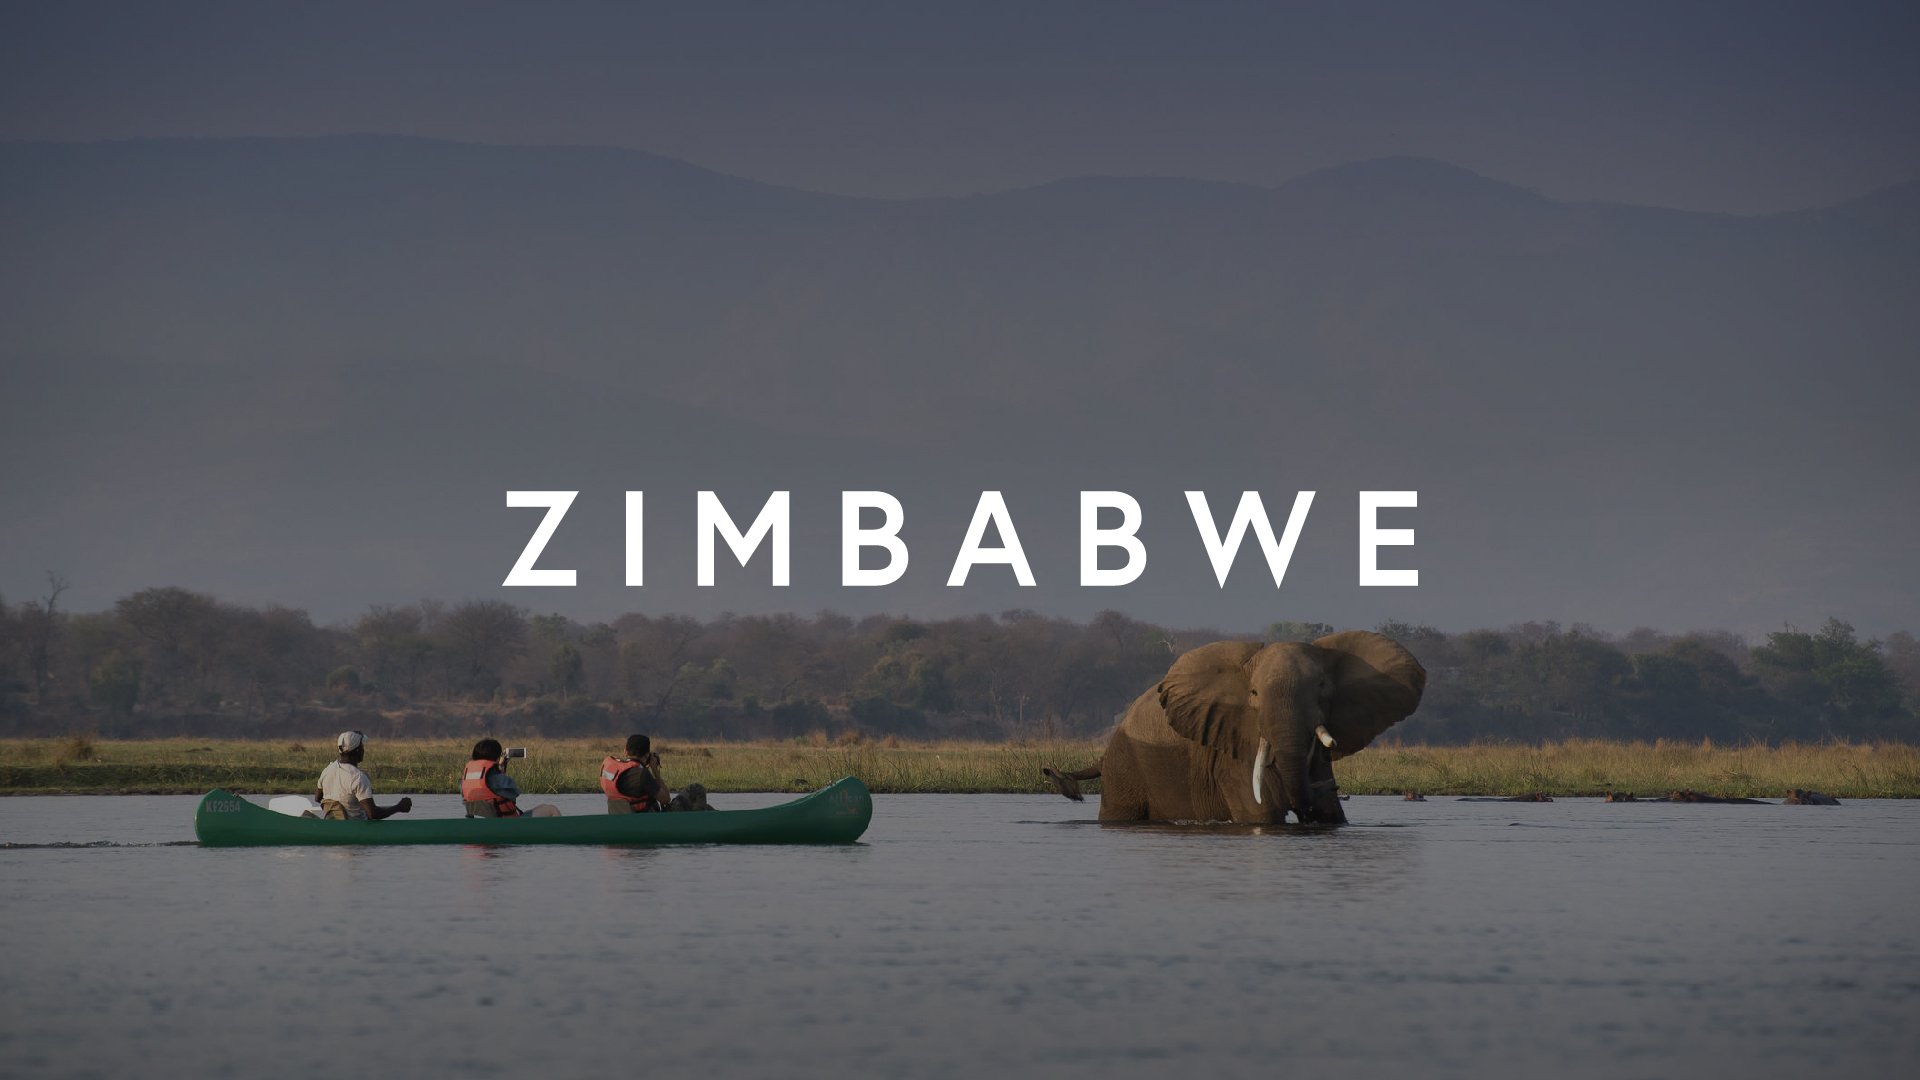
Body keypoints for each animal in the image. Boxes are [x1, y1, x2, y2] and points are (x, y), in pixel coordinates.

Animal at [1042, 631, 1425, 824]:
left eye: (1321, 688)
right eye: (1253, 694)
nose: (1325, 791)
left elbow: (1334, 818)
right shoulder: (1231, 751)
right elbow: (1262, 815)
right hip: (1126, 767)